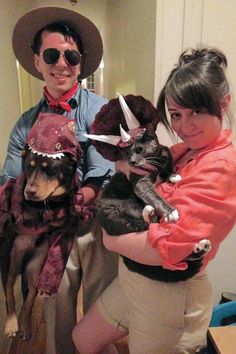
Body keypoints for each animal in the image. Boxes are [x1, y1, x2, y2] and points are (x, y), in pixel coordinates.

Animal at [0, 114, 82, 340]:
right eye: (28, 166)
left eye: (51, 169)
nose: (29, 192)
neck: (44, 205)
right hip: (12, 260)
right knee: (9, 292)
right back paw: (12, 323)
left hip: (35, 268)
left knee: (28, 299)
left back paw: (26, 325)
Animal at [97, 124, 211, 282]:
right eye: (127, 153)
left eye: (139, 149)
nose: (132, 162)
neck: (155, 162)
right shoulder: (139, 181)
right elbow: (154, 196)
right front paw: (170, 212)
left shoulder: (166, 154)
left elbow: (168, 166)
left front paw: (173, 175)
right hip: (110, 212)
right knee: (142, 227)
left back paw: (201, 247)